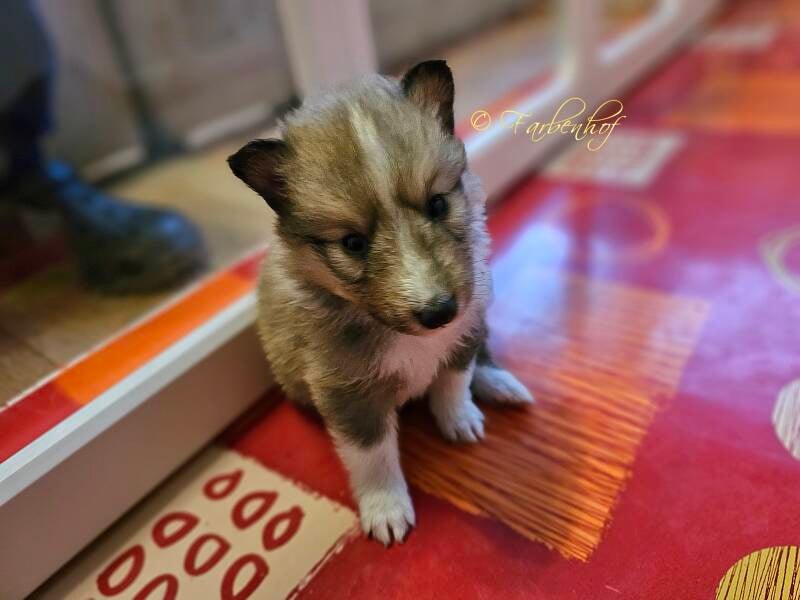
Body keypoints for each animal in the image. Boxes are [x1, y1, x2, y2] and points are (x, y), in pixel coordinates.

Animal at [228, 60, 533, 545]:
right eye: (353, 243)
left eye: (438, 204)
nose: (439, 312)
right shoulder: (348, 394)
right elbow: (373, 456)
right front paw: (387, 510)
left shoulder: (464, 328)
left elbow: (453, 381)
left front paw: (459, 419)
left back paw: (501, 385)